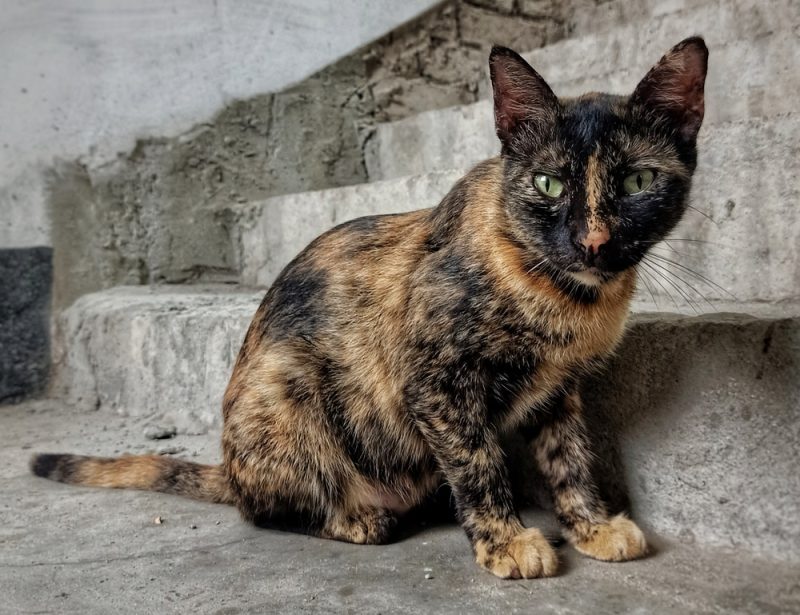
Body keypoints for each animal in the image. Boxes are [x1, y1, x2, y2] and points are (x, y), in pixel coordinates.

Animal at [31, 37, 708, 576]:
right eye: (550, 183)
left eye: (636, 183)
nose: (593, 241)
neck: (564, 295)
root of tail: (228, 467)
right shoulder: (435, 383)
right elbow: (480, 461)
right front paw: (506, 542)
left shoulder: (558, 389)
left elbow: (569, 458)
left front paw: (591, 526)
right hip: (285, 383)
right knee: (267, 508)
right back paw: (358, 517)